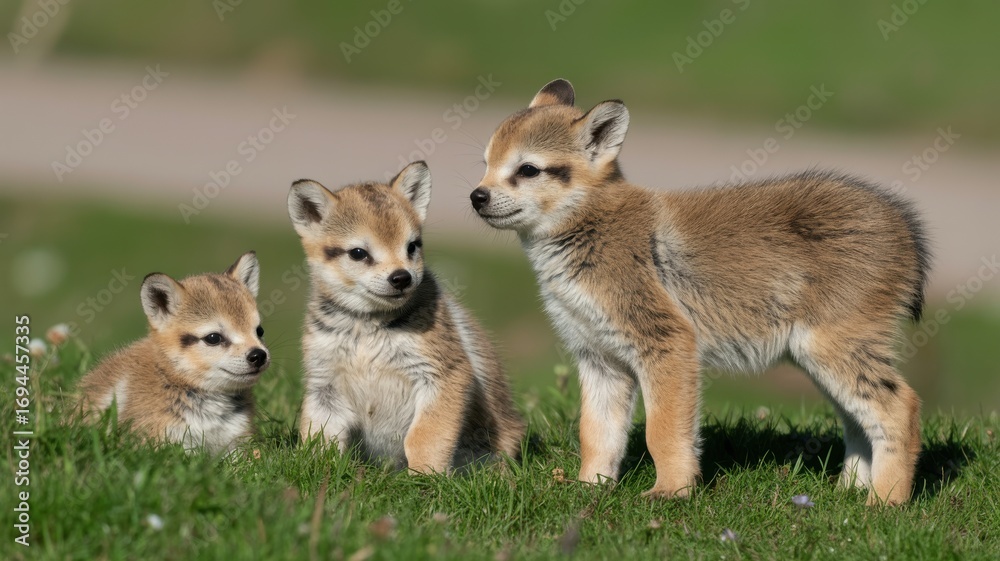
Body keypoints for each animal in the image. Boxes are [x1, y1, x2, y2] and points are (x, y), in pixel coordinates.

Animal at [287, 160, 525, 473]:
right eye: (358, 253)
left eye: (412, 245)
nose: (401, 278)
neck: (366, 330)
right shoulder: (324, 384)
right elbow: (319, 438)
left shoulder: (442, 375)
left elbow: (423, 438)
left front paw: (424, 477)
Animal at [470, 79, 930, 505]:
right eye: (486, 163)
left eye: (528, 169)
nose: (477, 196)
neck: (592, 230)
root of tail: (904, 226)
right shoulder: (599, 360)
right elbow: (597, 435)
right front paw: (590, 490)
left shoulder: (667, 346)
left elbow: (663, 433)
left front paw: (672, 491)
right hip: (817, 360)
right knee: (860, 423)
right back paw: (849, 493)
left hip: (833, 350)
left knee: (901, 408)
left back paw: (884, 502)